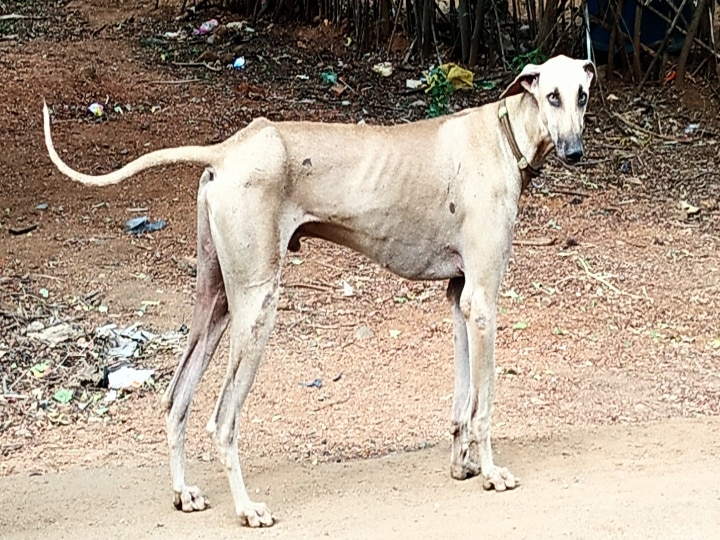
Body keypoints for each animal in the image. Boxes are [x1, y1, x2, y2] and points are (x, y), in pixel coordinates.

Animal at [43, 54, 596, 528]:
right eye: (551, 96)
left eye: (583, 95)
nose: (575, 152)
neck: (505, 135)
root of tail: (230, 147)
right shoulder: (482, 300)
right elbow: (484, 405)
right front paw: (491, 472)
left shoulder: (460, 297)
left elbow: (463, 400)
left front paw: (463, 465)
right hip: (257, 308)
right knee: (222, 420)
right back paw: (246, 508)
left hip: (215, 302)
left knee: (176, 398)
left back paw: (184, 492)